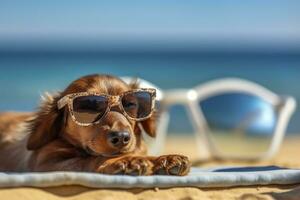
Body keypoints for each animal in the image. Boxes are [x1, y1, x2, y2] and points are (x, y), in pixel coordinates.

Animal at [0, 74, 190, 175]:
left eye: (130, 104)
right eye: (88, 105)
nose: (121, 137)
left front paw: (165, 159)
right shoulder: (46, 163)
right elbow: (91, 159)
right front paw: (127, 161)